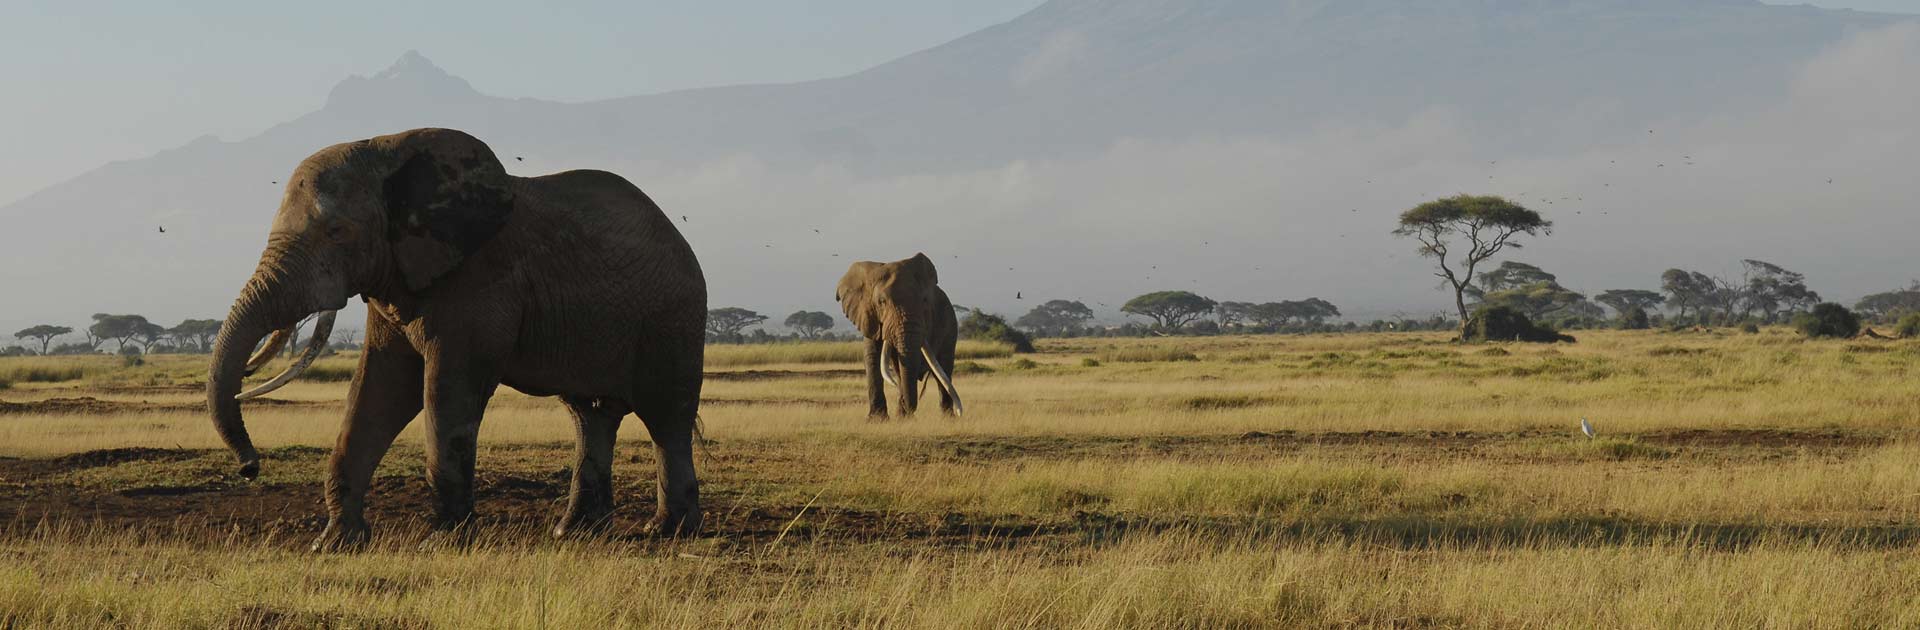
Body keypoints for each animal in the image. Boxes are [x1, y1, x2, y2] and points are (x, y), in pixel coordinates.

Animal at [204, 127, 714, 553]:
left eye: (337, 232)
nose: (249, 468)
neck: (388, 151)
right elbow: (379, 391)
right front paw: (334, 544)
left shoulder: (479, 281)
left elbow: (445, 391)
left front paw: (445, 541)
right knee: (590, 416)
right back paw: (574, 532)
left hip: (674, 318)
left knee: (666, 417)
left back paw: (667, 531)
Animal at [837, 251, 960, 418]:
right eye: (881, 302)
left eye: (925, 301)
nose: (909, 411)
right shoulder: (869, 317)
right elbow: (872, 357)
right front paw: (877, 419)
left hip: (950, 324)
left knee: (943, 368)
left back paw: (946, 418)